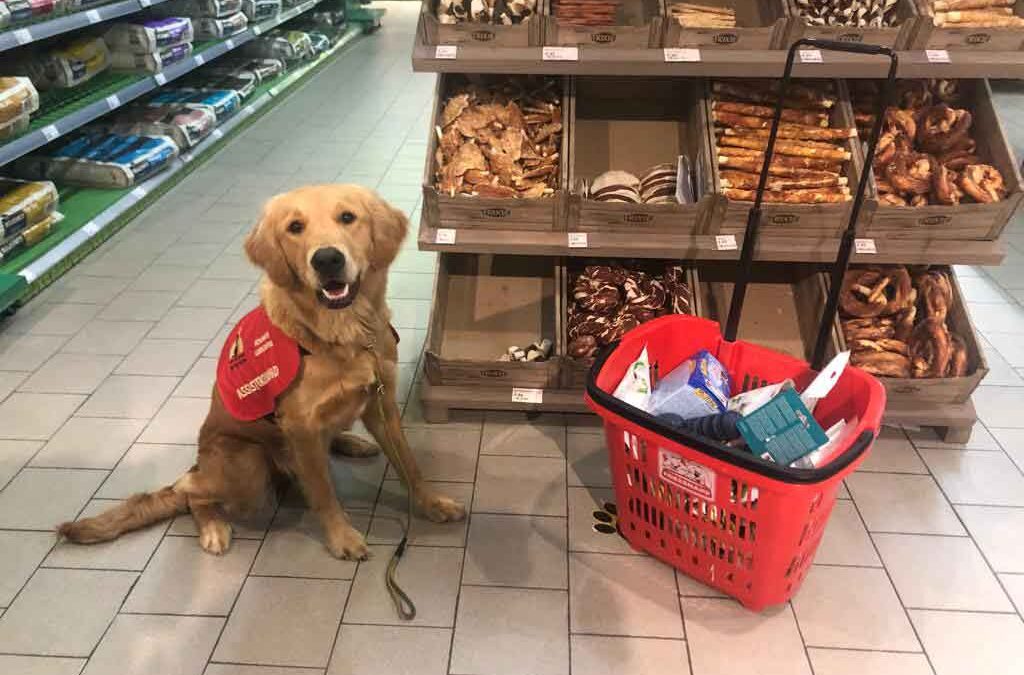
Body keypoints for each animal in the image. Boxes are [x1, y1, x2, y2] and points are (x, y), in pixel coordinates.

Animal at [58, 184, 466, 561]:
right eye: (295, 227)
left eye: (348, 217)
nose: (327, 259)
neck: (342, 336)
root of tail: (201, 461)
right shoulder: (301, 428)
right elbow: (324, 493)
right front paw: (342, 538)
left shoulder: (382, 405)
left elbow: (409, 465)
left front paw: (432, 503)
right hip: (247, 470)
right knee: (190, 491)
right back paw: (213, 527)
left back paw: (350, 442)